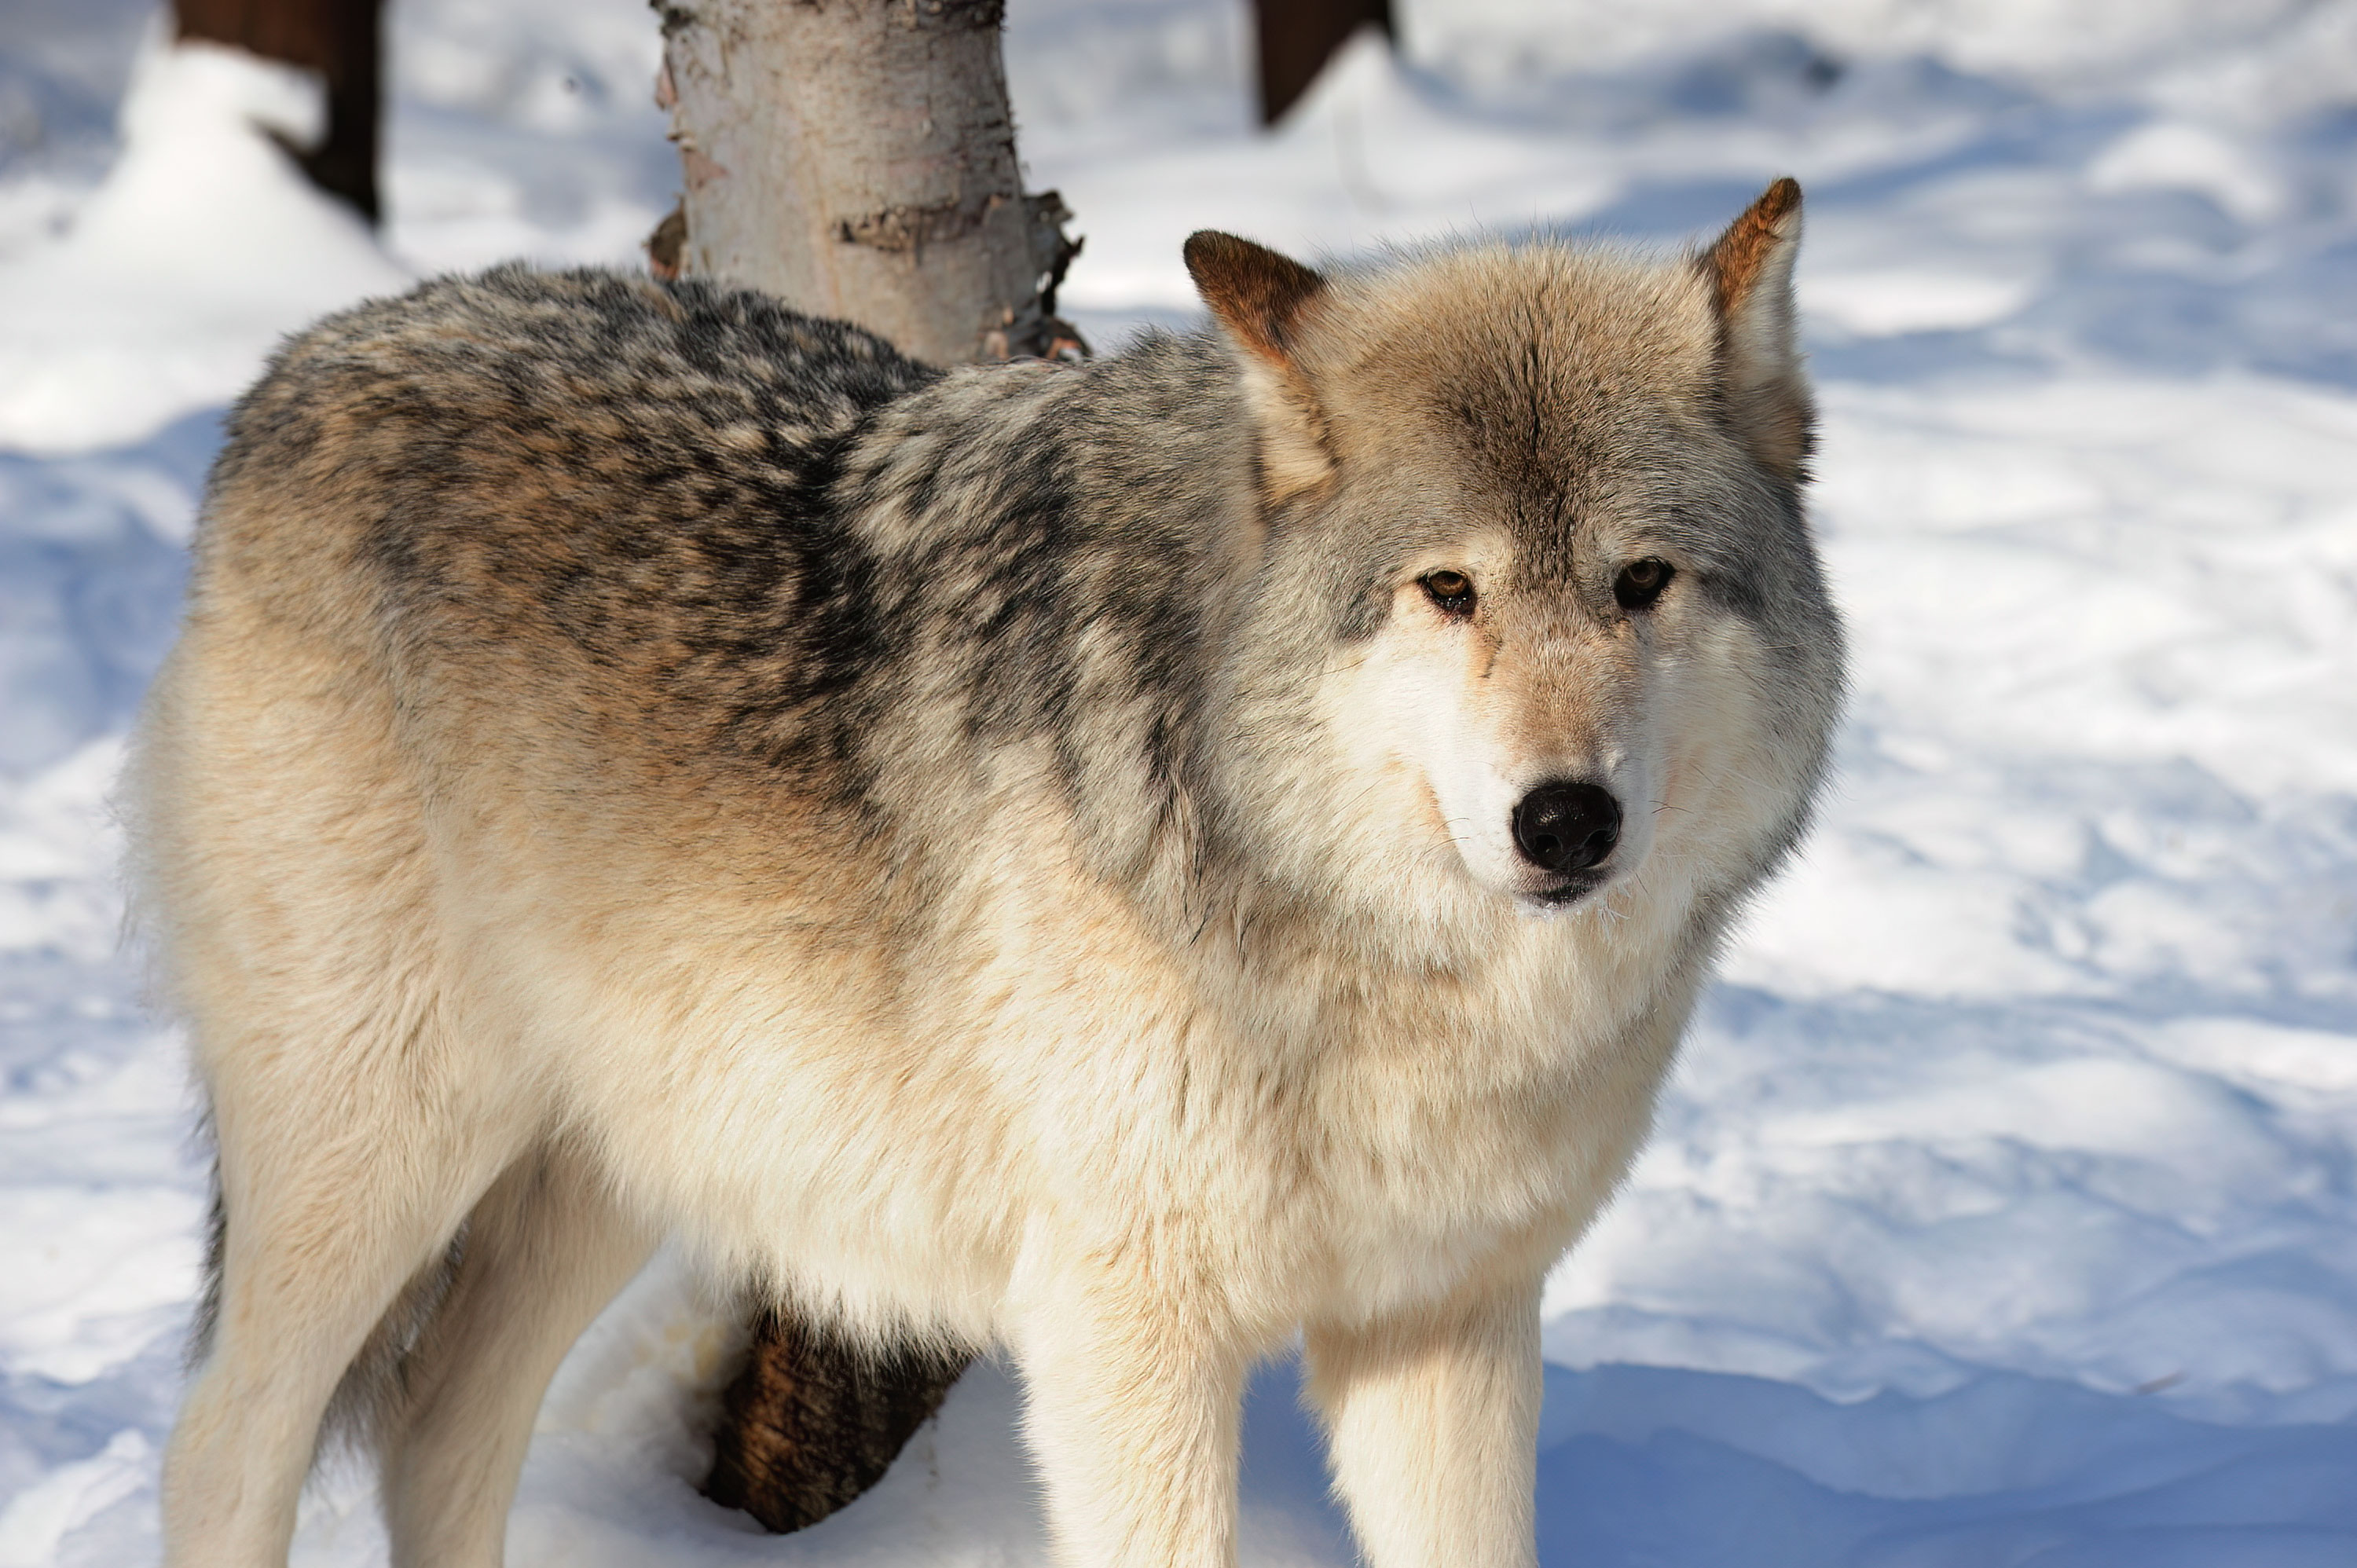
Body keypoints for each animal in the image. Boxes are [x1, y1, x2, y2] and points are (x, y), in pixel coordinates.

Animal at [132, 178, 1842, 1568]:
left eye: (1641, 582)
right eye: (1449, 591)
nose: (1566, 821)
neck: (1368, 953)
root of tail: (302, 360)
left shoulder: (1444, 1323)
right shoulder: (1125, 1334)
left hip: (619, 1160)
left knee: (434, 1439)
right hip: (379, 1152)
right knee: (222, 1446)